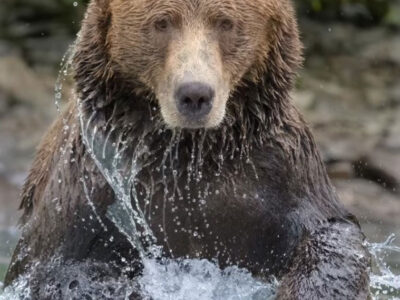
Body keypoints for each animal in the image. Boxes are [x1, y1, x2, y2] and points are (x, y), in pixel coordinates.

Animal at [4, 0, 370, 298]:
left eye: (225, 22)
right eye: (162, 23)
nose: (195, 94)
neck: (187, 152)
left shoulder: (277, 171)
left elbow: (331, 234)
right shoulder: (89, 181)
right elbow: (64, 268)